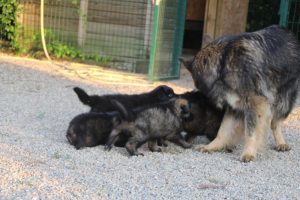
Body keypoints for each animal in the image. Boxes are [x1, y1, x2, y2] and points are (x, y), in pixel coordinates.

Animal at [180, 25, 300, 162]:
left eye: (197, 83)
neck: (224, 64)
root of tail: (288, 31)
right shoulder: (233, 106)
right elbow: (223, 130)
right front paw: (212, 146)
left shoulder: (256, 104)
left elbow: (251, 131)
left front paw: (249, 153)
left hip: (284, 100)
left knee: (275, 122)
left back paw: (281, 143)